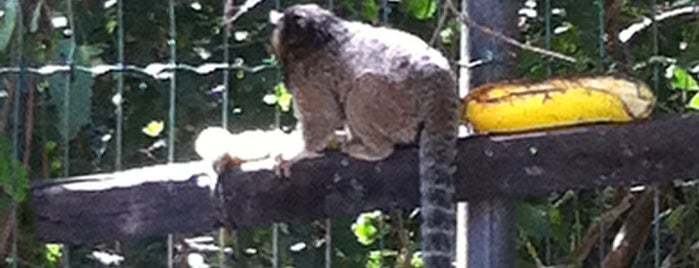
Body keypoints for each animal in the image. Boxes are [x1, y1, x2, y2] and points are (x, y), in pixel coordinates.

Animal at [270, 3, 462, 266]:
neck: (321, 36)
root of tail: (440, 84)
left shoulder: (310, 74)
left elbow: (325, 117)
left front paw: (301, 153)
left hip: (398, 108)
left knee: (362, 89)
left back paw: (374, 150)